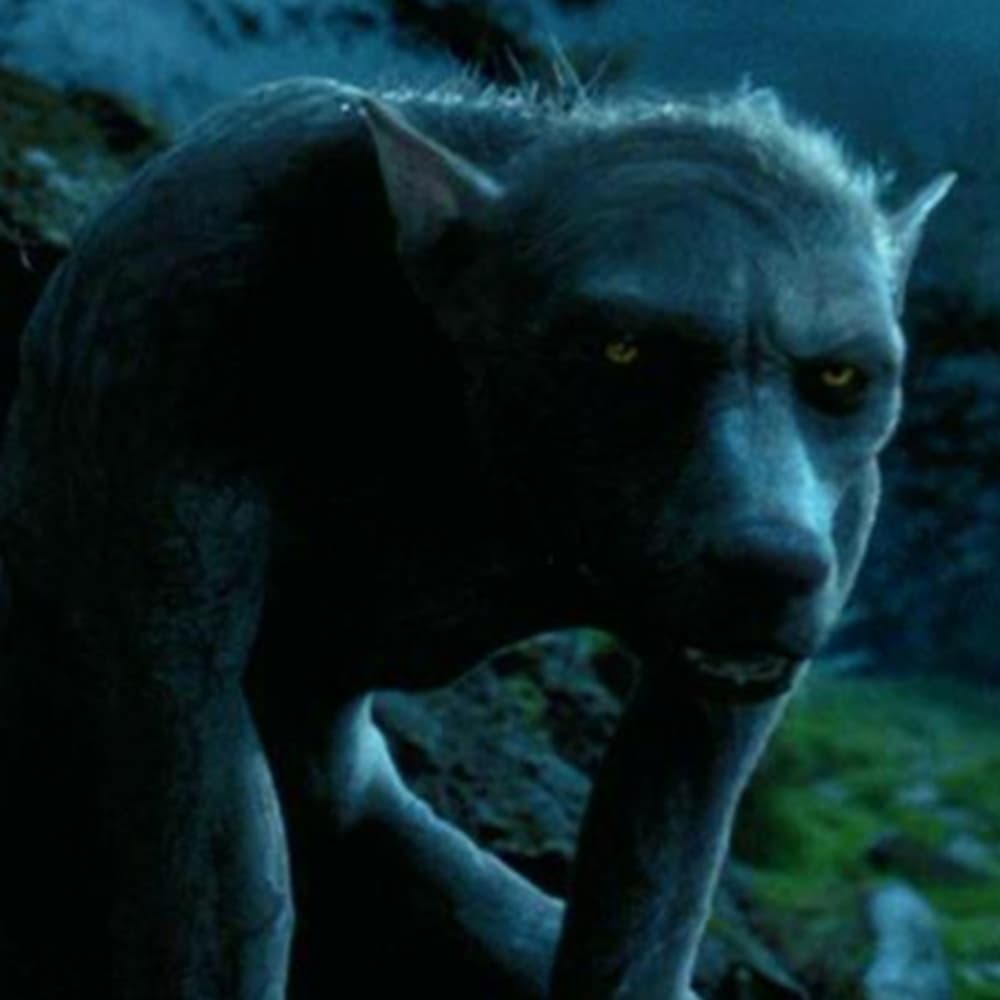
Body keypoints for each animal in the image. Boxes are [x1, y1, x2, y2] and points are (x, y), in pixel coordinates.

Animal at [0, 77, 950, 998]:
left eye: (839, 378)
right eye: (624, 354)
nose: (772, 561)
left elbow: (654, 880)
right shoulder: (172, 343)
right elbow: (218, 861)